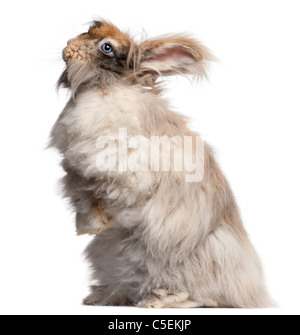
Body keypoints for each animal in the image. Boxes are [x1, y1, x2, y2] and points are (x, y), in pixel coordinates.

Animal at [50, 20, 274, 310]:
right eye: (90, 28)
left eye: (107, 47)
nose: (67, 47)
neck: (108, 88)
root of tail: (251, 292)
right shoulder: (77, 176)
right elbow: (85, 200)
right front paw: (86, 227)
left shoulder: (122, 172)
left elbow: (110, 196)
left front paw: (98, 223)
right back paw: (104, 296)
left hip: (189, 262)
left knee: (200, 295)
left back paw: (154, 300)